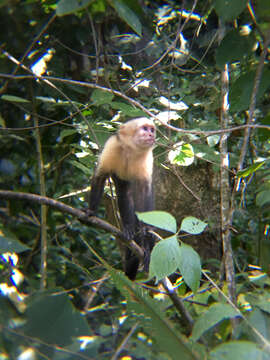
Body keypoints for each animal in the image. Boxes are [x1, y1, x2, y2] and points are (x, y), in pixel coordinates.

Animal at [88, 116, 156, 280]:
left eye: (152, 129)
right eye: (145, 128)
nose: (151, 134)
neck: (131, 149)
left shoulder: (147, 157)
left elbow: (144, 194)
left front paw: (146, 240)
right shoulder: (112, 145)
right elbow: (101, 176)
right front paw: (91, 211)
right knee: (125, 193)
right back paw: (128, 228)